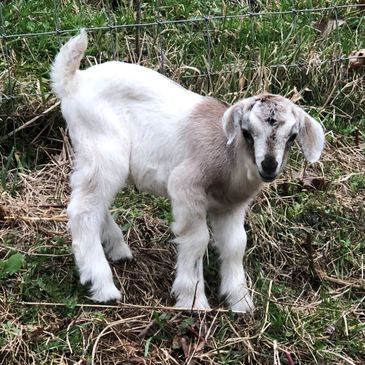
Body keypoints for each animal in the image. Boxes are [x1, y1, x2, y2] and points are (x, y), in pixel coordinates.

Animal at [50, 29, 324, 312]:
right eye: (247, 132)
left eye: (292, 136)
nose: (268, 166)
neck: (230, 160)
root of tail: (73, 81)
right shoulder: (185, 186)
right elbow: (197, 240)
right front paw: (193, 299)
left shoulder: (231, 206)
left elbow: (236, 244)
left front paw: (240, 300)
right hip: (103, 148)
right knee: (83, 210)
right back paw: (103, 286)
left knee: (93, 201)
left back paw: (117, 249)